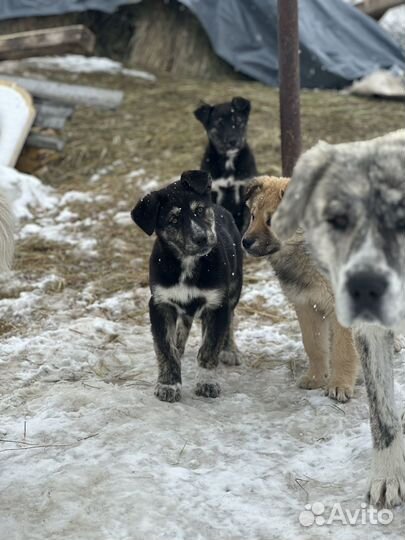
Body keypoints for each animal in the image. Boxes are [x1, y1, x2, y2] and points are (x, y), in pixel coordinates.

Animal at [131, 171, 241, 402]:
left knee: (230, 319)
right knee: (185, 322)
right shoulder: (160, 303)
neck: (187, 262)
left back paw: (229, 349)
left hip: (234, 289)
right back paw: (180, 344)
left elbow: (209, 347)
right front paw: (168, 385)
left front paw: (207, 382)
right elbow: (165, 348)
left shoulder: (217, 304)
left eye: (198, 210)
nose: (201, 238)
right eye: (173, 220)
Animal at [241, 175, 358, 402]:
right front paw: (316, 378)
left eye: (271, 221)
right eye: (252, 216)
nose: (245, 242)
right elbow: (314, 345)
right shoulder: (306, 304)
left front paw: (340, 384)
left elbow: (343, 350)